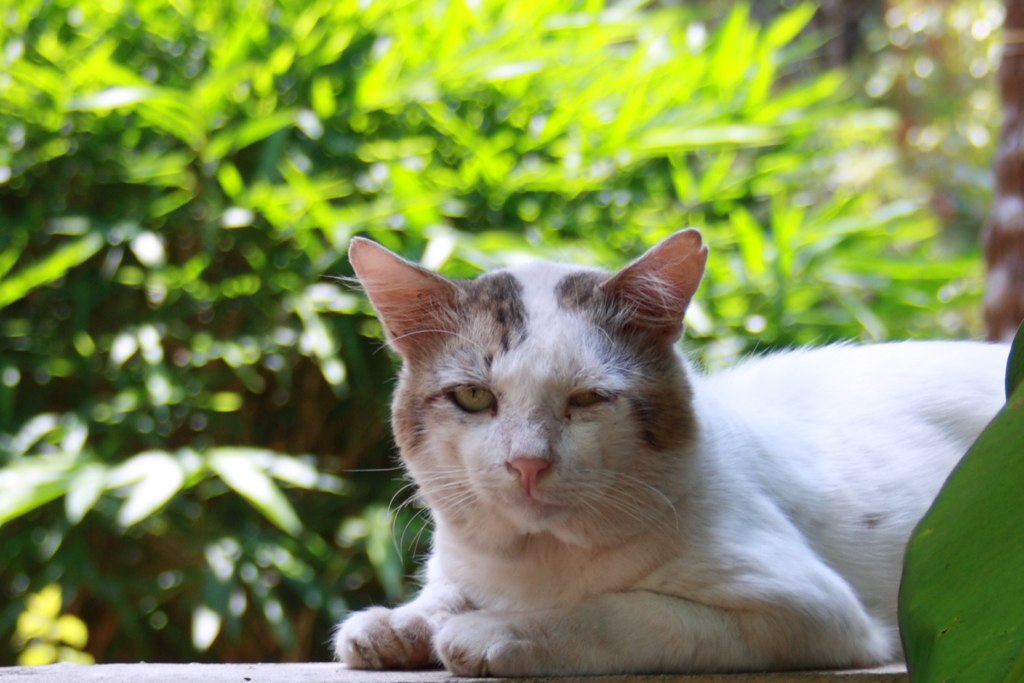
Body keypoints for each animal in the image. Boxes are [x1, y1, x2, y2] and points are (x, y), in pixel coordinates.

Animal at [331, 228, 1003, 671]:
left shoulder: (811, 612)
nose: (528, 462)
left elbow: (622, 611)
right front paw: (398, 622)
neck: (533, 559)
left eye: (588, 399)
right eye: (473, 396)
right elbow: (443, 591)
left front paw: (495, 630)